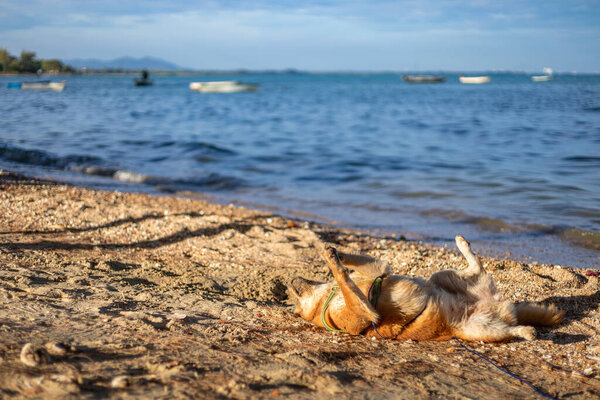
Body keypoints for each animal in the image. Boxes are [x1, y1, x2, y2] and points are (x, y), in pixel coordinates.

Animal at [290, 236, 564, 342]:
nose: (292, 281)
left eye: (297, 297)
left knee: (476, 266)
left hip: (441, 276)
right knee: (510, 329)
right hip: (478, 328)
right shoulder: (363, 312)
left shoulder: (379, 270)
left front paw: (332, 251)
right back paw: (527, 331)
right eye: (298, 305)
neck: (326, 301)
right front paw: (332, 260)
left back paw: (462, 244)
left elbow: (354, 268)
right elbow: (345, 282)